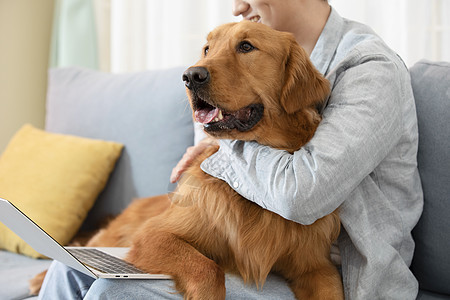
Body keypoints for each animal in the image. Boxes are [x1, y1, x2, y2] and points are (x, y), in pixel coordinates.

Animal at [31, 20, 342, 298]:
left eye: (246, 46)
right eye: (207, 49)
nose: (191, 76)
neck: (255, 190)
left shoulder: (316, 266)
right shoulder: (154, 234)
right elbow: (208, 268)